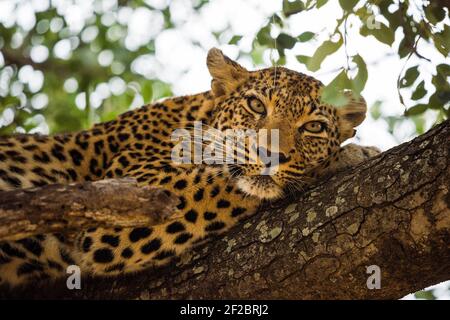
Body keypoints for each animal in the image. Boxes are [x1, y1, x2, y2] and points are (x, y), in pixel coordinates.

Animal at [0, 48, 380, 288]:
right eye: (256, 105)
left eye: (313, 127)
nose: (270, 155)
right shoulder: (120, 202)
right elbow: (220, 179)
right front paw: (350, 155)